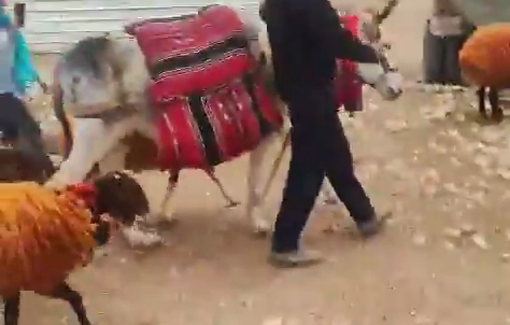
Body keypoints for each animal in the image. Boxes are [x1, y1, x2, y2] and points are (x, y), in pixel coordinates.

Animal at [1, 171, 149, 322]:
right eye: (130, 188)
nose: (146, 209)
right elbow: (75, 298)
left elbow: (11, 315)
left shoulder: (17, 282)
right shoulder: (42, 278)